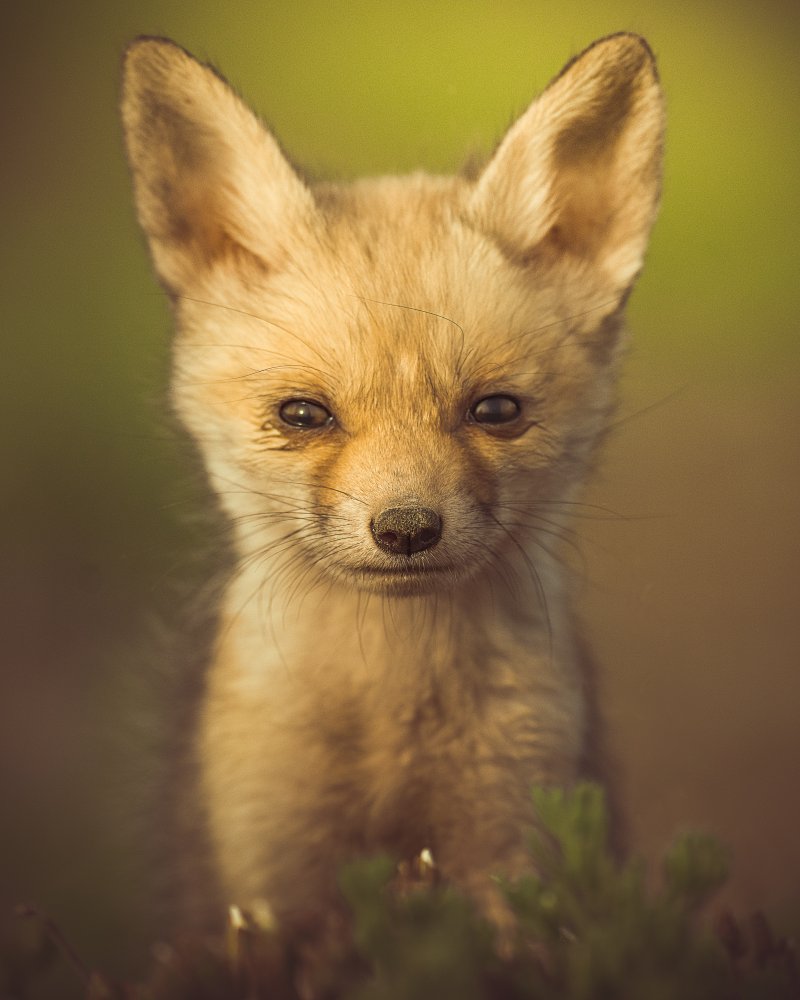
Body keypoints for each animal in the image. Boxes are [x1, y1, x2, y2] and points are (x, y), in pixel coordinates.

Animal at [121, 33, 664, 935]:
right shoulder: (263, 876)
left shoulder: (517, 845)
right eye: (304, 415)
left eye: (496, 410)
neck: (390, 709)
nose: (407, 529)